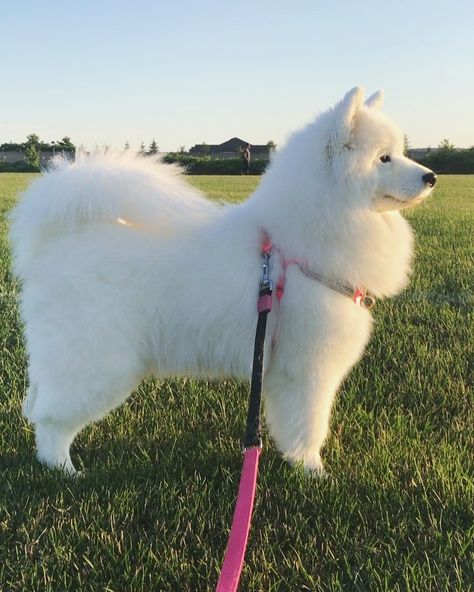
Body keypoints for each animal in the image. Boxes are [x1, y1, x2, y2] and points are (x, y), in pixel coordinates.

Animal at [9, 88, 436, 474]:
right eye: (384, 158)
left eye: (400, 152)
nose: (431, 176)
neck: (293, 250)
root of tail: (55, 243)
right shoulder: (308, 371)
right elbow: (310, 426)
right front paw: (313, 473)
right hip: (97, 363)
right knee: (52, 423)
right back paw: (64, 470)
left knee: (38, 405)